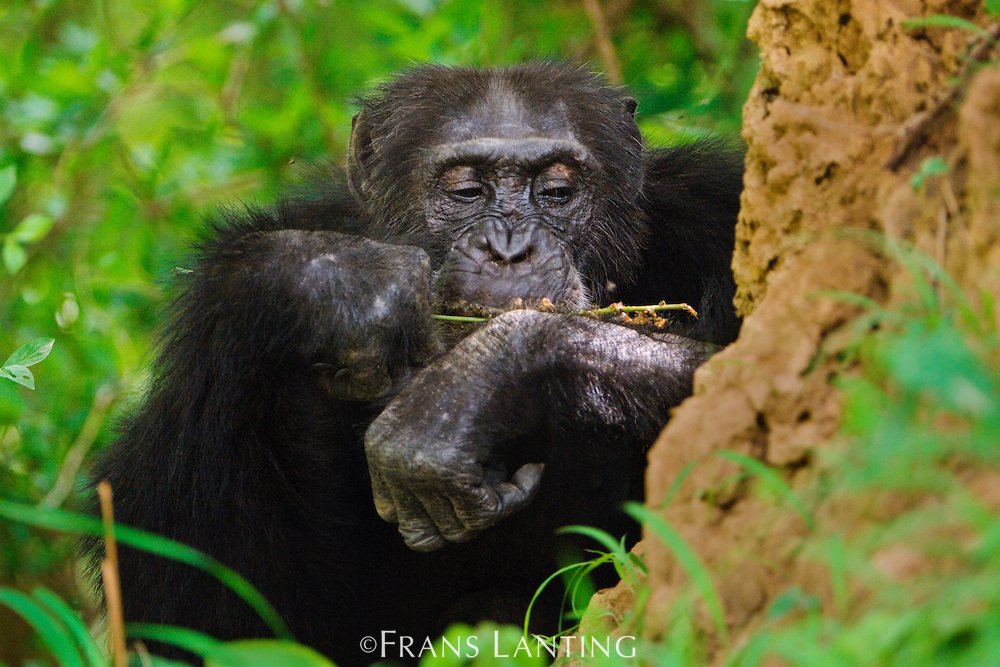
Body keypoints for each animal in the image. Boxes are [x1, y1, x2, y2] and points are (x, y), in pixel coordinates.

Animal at [86, 61, 744, 664]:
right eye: (466, 191)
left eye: (557, 192)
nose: (510, 248)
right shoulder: (212, 313)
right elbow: (187, 589)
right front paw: (329, 282)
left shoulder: (718, 208)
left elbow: (741, 363)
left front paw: (480, 383)